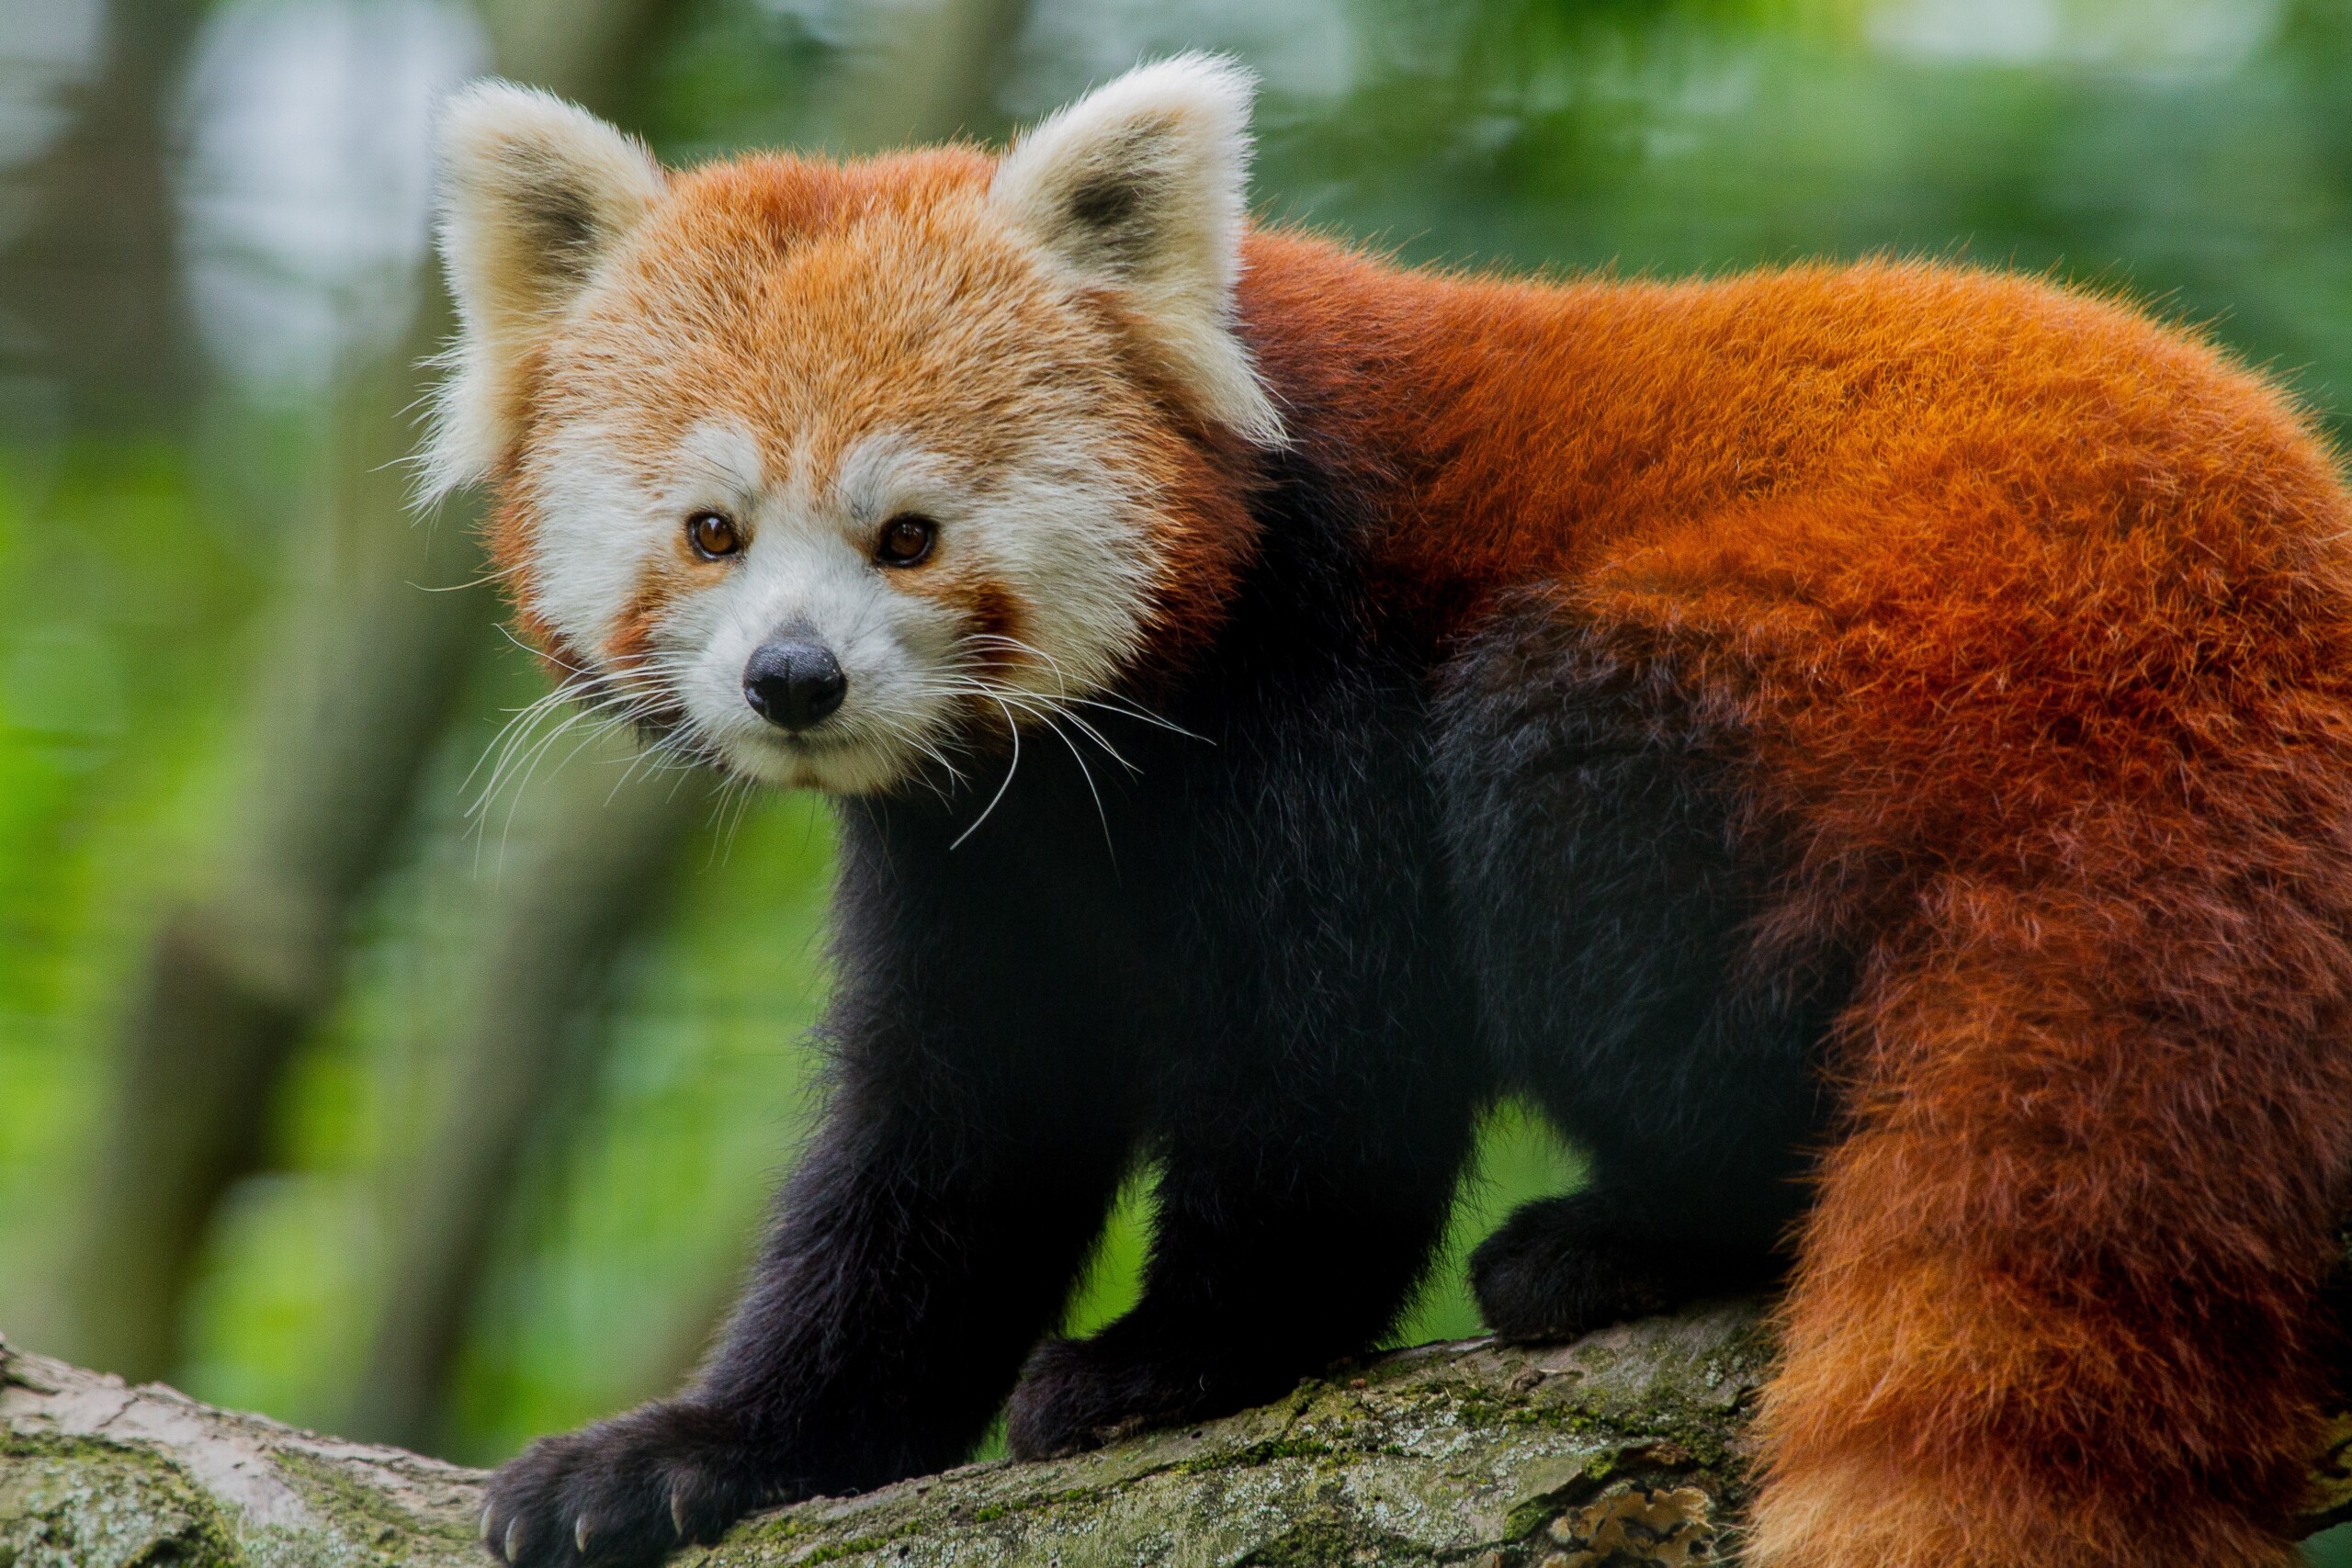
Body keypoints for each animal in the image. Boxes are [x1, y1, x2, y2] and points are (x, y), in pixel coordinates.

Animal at [433, 51, 2352, 1568]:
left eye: (907, 534)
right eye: (712, 532)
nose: (797, 681)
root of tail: (2230, 649)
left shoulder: (1319, 691)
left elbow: (1329, 1078)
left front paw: (1177, 1360)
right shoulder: (989, 850)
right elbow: (955, 1148)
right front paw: (701, 1452)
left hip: (1808, 670)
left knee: (1569, 801)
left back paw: (1634, 1233)